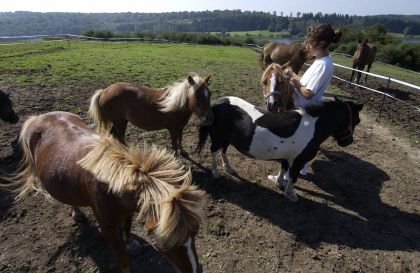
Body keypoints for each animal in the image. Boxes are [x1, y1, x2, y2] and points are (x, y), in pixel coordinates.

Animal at [1, 110, 205, 272]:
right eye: (163, 242)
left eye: (195, 233)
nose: (195, 271)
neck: (112, 183)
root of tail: (39, 117)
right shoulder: (106, 225)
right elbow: (122, 258)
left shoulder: (129, 210)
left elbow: (127, 227)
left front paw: (131, 243)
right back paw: (76, 213)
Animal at [195, 95, 362, 200]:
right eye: (357, 120)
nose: (348, 142)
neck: (312, 127)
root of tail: (217, 103)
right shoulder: (298, 161)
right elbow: (293, 177)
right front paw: (291, 195)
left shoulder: (287, 157)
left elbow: (283, 169)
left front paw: (278, 182)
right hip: (218, 138)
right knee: (214, 151)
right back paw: (215, 172)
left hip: (226, 139)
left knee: (223, 151)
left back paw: (229, 169)